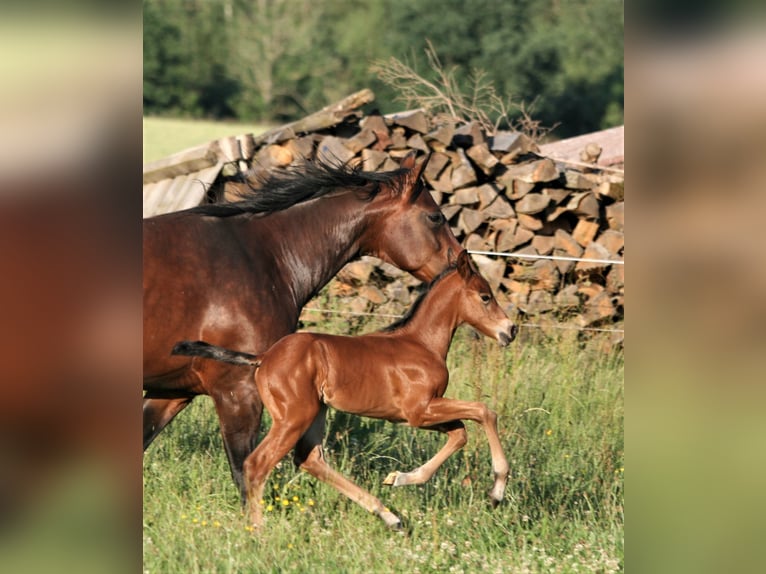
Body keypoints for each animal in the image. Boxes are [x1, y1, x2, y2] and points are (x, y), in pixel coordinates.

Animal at [174, 252, 520, 532]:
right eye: (485, 296)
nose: (511, 330)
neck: (421, 343)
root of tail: (264, 358)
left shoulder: (419, 413)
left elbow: (460, 433)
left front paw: (399, 478)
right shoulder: (418, 411)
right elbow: (483, 412)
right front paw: (496, 493)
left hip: (316, 413)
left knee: (309, 459)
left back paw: (390, 517)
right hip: (294, 418)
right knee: (257, 464)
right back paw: (258, 530)